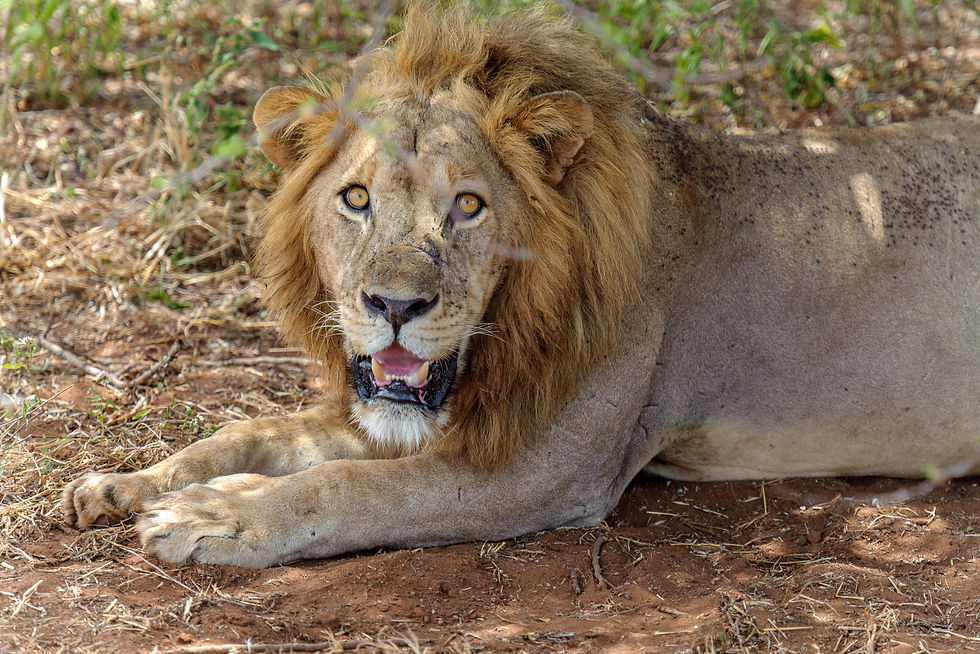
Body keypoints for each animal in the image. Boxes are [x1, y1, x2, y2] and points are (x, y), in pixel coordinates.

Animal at [62, 3, 980, 567]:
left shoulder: (542, 472)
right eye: (356, 198)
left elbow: (349, 487)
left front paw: (215, 518)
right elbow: (251, 432)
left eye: (468, 206)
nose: (395, 308)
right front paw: (127, 484)